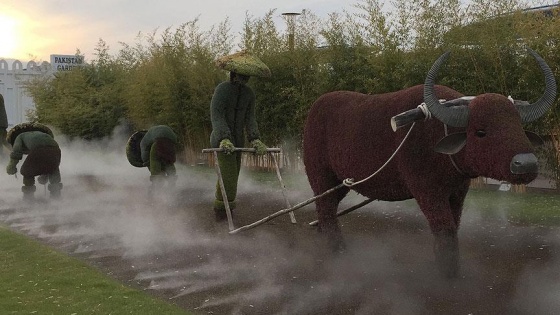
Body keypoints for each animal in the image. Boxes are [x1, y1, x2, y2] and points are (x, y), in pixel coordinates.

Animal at [304, 48, 556, 276]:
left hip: (341, 182)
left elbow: (454, 225)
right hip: (320, 175)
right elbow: (445, 230)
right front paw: (448, 272)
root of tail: (314, 109)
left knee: (326, 208)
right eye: (481, 131)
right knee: (325, 209)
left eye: (519, 127)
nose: (526, 164)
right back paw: (338, 251)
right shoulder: (428, 192)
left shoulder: (457, 192)